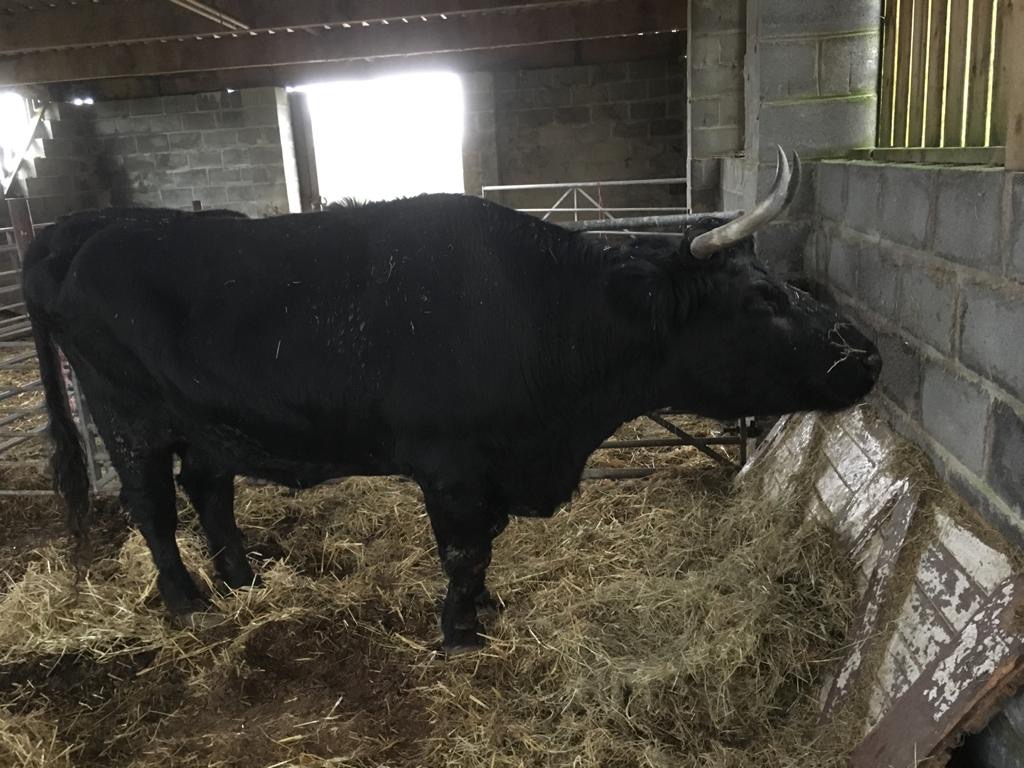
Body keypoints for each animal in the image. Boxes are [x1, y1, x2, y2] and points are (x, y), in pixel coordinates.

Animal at [22, 147, 880, 651]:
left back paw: (243, 580)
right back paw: (187, 599)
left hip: (208, 423)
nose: (867, 355)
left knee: (209, 489)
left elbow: (485, 551)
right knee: (151, 507)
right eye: (762, 297)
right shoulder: (455, 470)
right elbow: (463, 552)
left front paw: (486, 609)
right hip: (128, 417)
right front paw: (461, 633)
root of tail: (81, 229)